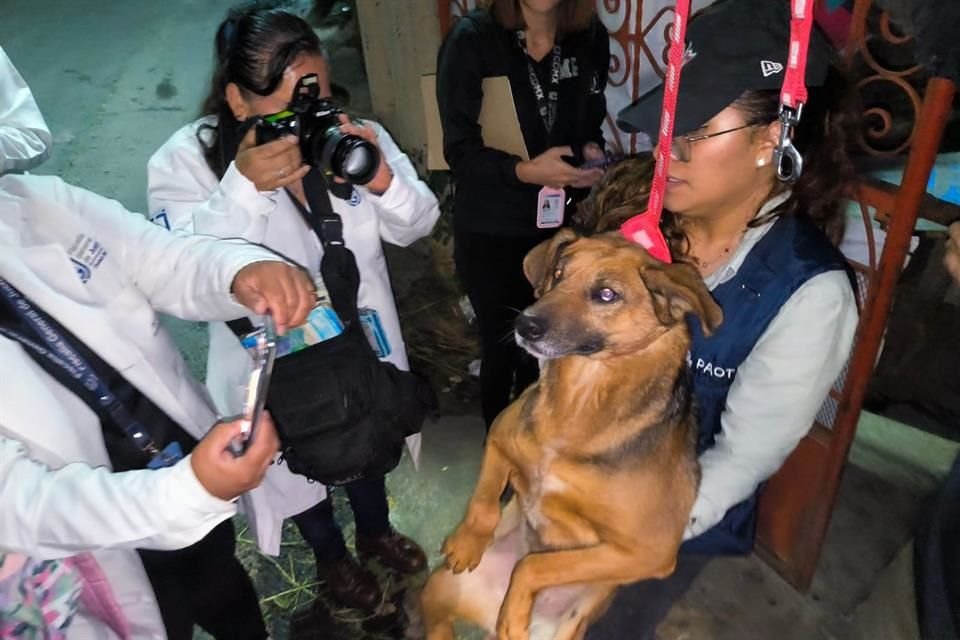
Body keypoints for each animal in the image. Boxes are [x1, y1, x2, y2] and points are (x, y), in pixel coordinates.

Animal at [420, 230, 720, 640]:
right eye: (558, 274)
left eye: (606, 294)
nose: (524, 325)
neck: (577, 403)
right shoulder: (498, 438)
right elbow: (484, 499)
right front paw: (467, 543)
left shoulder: (649, 552)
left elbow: (535, 566)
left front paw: (515, 611)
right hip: (439, 586)